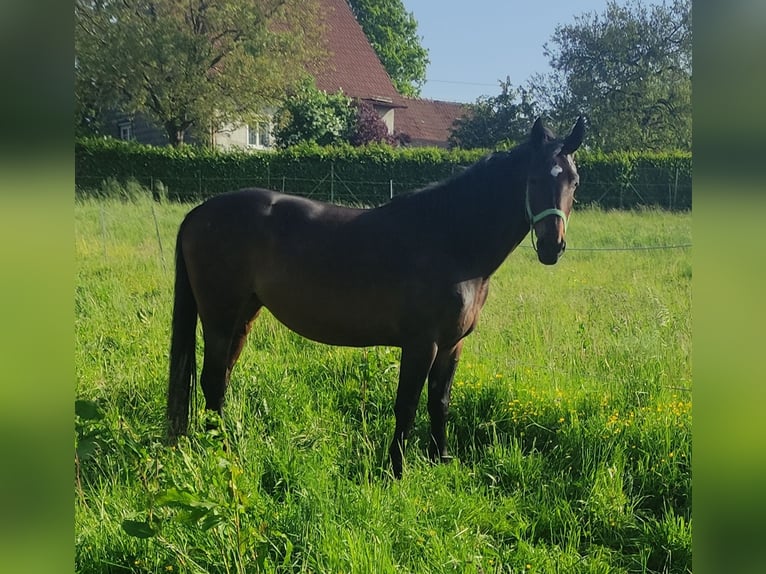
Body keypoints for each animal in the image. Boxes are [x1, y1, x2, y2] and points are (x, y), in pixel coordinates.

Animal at [170, 116, 588, 476]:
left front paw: (440, 460)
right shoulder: (421, 344)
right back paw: (222, 452)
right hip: (220, 318)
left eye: (574, 181)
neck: (450, 239)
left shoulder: (452, 345)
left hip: (243, 316)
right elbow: (407, 406)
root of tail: (198, 213)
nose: (552, 247)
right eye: (533, 178)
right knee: (211, 380)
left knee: (221, 380)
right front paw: (396, 471)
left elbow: (440, 402)